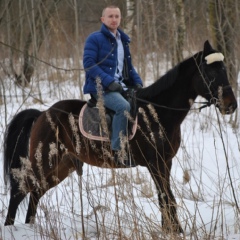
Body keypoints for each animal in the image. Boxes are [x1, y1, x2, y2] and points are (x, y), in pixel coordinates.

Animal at [2, 40, 237, 233]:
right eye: (210, 74)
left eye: (225, 70)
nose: (231, 105)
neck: (157, 111)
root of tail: (43, 114)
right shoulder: (155, 164)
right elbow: (167, 197)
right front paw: (175, 231)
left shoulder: (165, 163)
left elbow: (166, 198)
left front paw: (171, 230)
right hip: (44, 161)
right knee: (20, 191)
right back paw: (11, 228)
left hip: (62, 166)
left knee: (35, 194)